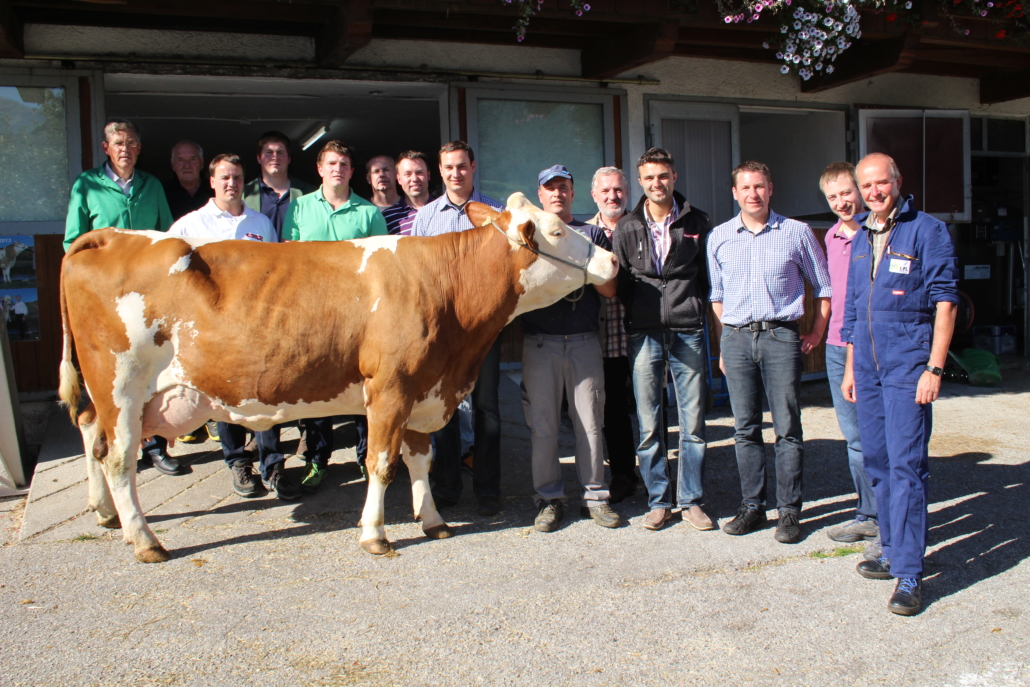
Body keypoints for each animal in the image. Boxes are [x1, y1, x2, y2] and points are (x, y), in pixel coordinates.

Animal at [58, 193, 618, 564]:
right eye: (556, 230)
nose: (612, 257)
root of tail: (109, 237)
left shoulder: (423, 387)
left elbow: (419, 459)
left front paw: (433, 521)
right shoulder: (390, 388)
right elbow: (381, 464)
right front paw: (375, 535)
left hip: (109, 394)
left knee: (90, 435)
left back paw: (105, 514)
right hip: (121, 386)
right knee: (117, 458)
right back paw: (145, 541)